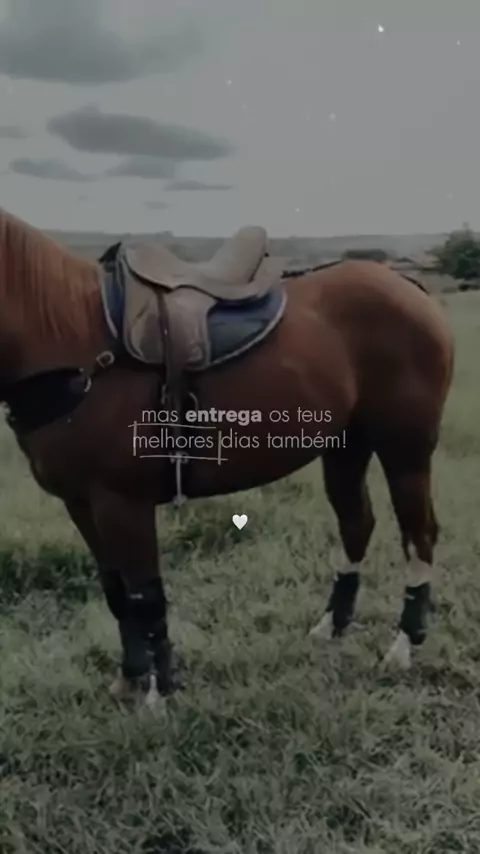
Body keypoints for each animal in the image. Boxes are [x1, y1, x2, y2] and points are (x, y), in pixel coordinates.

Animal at [0, 208, 454, 707]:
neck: (71, 338)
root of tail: (407, 287)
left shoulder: (123, 503)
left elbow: (146, 595)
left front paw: (159, 693)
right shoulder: (81, 503)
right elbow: (116, 590)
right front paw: (130, 678)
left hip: (405, 449)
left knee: (419, 535)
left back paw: (403, 646)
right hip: (346, 446)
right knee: (357, 524)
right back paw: (330, 627)